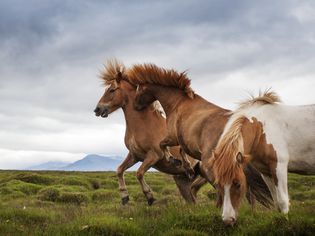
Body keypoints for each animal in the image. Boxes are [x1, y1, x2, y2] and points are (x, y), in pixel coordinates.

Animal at [94, 60, 207, 206]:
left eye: (112, 90)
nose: (97, 109)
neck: (144, 124)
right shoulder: (134, 155)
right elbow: (119, 170)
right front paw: (124, 197)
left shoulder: (154, 155)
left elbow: (139, 173)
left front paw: (150, 197)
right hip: (182, 179)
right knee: (192, 199)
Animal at [128, 62, 274, 210]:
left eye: (138, 90)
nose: (135, 106)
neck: (178, 103)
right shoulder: (184, 140)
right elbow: (181, 149)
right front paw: (187, 167)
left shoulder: (173, 137)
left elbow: (163, 144)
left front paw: (173, 160)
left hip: (211, 164)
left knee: (222, 187)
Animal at [211, 90, 315, 225]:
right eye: (218, 184)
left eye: (238, 184)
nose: (228, 220)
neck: (262, 129)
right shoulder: (265, 172)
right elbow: (276, 202)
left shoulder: (279, 167)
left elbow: (282, 200)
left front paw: (285, 222)